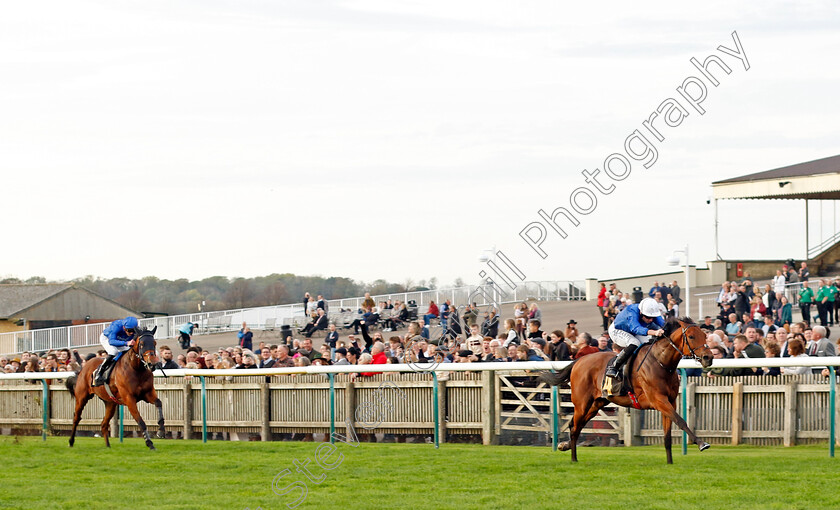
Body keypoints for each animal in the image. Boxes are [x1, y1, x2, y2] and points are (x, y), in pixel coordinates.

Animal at [540, 316, 712, 464]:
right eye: (691, 336)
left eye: (704, 335)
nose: (708, 357)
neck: (661, 362)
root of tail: (578, 360)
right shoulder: (658, 400)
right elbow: (681, 421)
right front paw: (702, 443)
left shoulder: (670, 401)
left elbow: (668, 434)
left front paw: (670, 462)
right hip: (582, 403)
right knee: (575, 427)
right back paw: (573, 458)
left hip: (597, 403)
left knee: (577, 424)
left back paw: (565, 445)